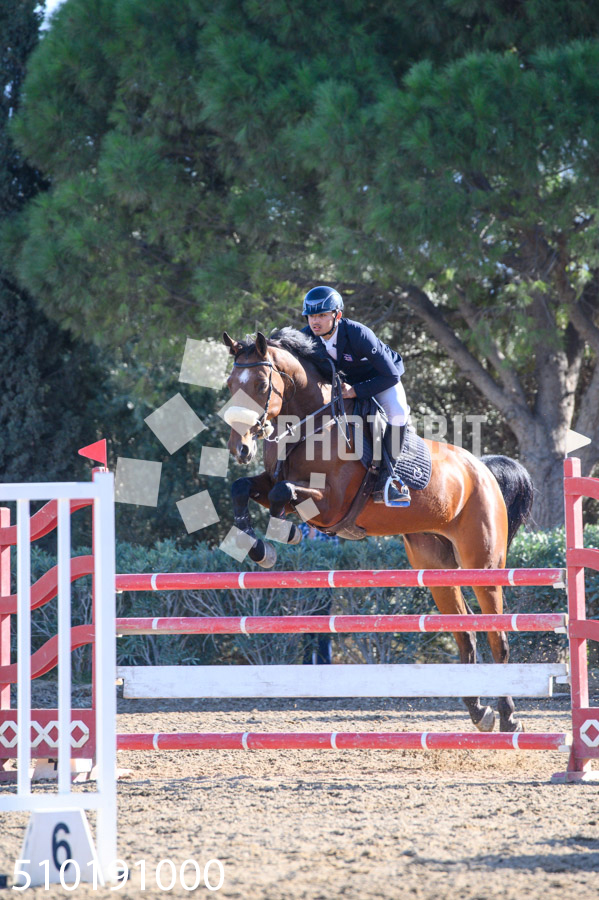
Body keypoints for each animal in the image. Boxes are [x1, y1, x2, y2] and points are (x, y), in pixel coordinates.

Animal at [221, 327, 533, 734]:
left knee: (497, 633)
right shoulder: (272, 481)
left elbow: (282, 493)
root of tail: (481, 468)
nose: (240, 448)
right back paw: (480, 712)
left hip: (483, 563)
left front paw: (284, 532)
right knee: (465, 633)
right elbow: (242, 487)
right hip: (436, 567)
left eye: (260, 384)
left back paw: (508, 715)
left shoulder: (332, 504)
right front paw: (259, 548)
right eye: (230, 385)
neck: (309, 424)